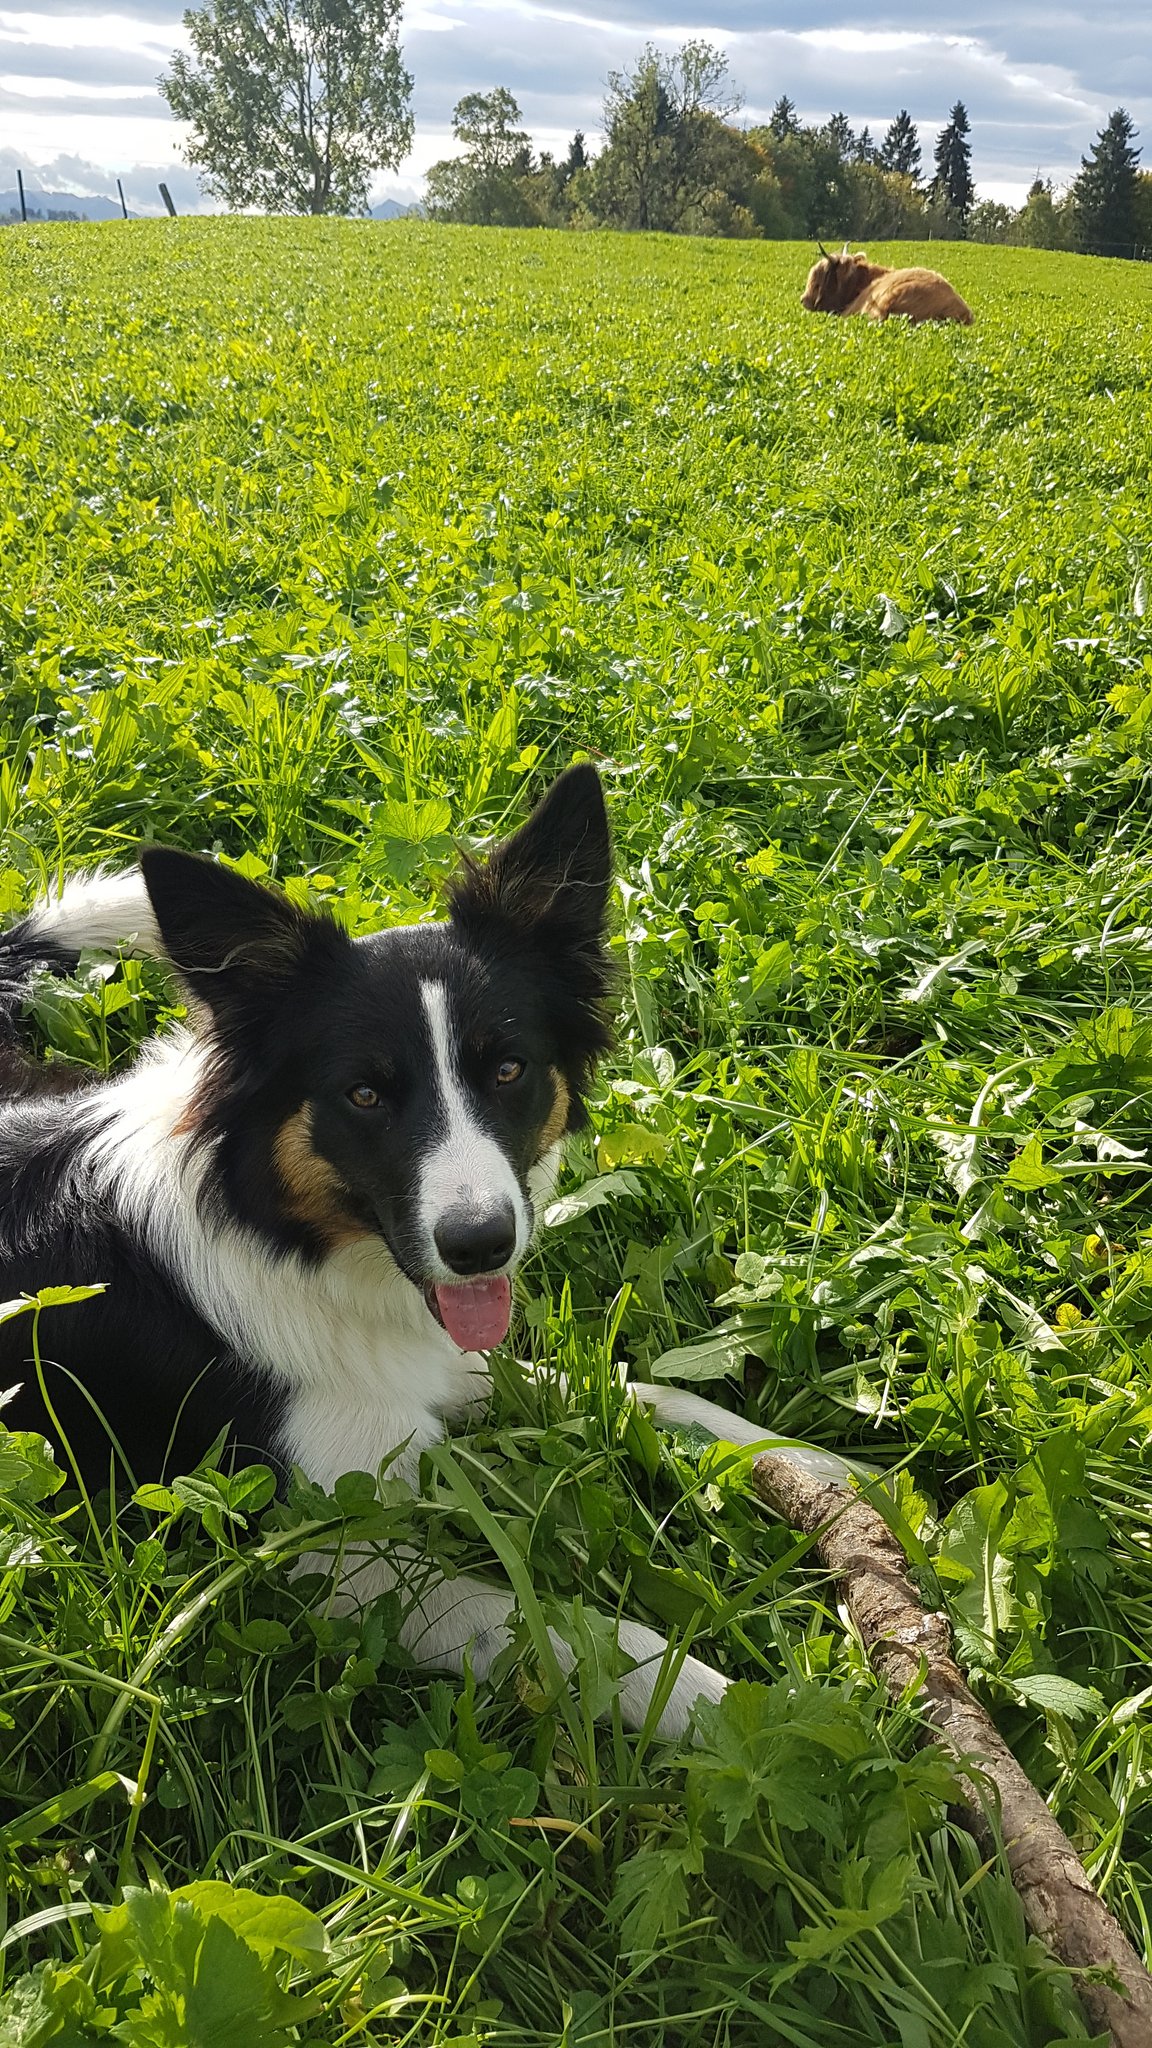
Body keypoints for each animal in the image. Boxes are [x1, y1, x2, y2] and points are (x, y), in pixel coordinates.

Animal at [0, 767, 847, 1737]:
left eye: (509, 1069)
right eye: (365, 1094)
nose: (481, 1247)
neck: (289, 1239)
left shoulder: (425, 1369)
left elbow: (638, 1390)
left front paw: (823, 1474)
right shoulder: (323, 1558)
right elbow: (573, 1632)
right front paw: (756, 1710)